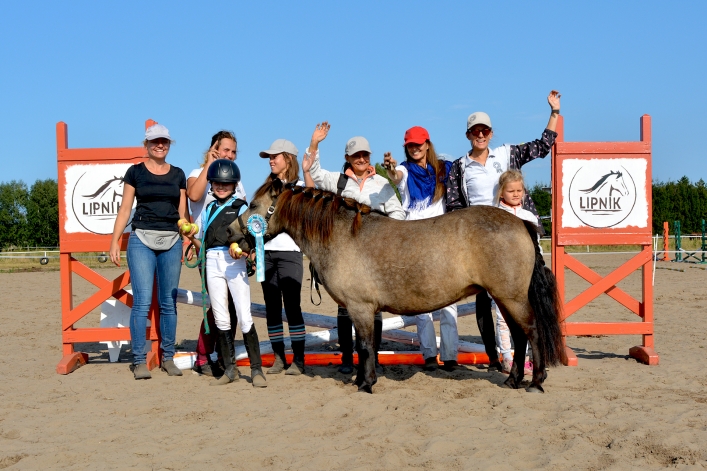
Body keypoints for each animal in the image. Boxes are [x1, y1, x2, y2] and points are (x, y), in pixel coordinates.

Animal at [227, 178, 566, 393]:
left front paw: (365, 384)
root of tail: (520, 222)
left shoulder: (361, 308)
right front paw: (362, 380)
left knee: (531, 331)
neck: (342, 235)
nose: (231, 233)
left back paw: (536, 382)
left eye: (254, 205)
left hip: (511, 297)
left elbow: (365, 346)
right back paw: (513, 380)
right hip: (505, 298)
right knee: (519, 336)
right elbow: (364, 347)